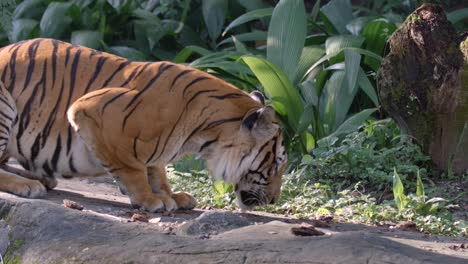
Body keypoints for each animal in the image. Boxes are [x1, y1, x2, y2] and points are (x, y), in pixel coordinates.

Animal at [0, 38, 288, 212]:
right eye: (275, 165)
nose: (274, 200)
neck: (205, 137)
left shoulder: (155, 151)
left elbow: (156, 170)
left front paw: (173, 196)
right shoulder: (92, 111)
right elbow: (133, 168)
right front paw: (150, 199)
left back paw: (40, 177)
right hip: (5, 105)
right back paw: (28, 184)